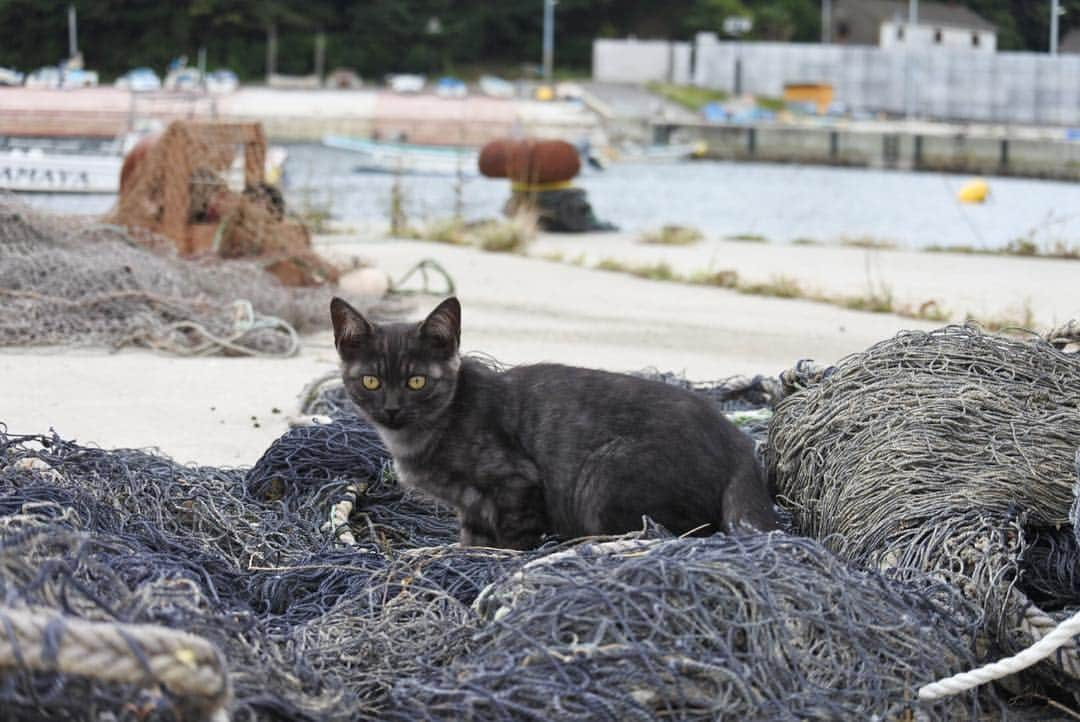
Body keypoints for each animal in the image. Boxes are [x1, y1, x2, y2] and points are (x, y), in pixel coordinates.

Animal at [328, 293, 777, 546]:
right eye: (371, 380)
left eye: (417, 381)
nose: (392, 408)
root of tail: (739, 446)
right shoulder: (472, 508)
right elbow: (473, 542)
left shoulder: (517, 484)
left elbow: (513, 540)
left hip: (604, 474)